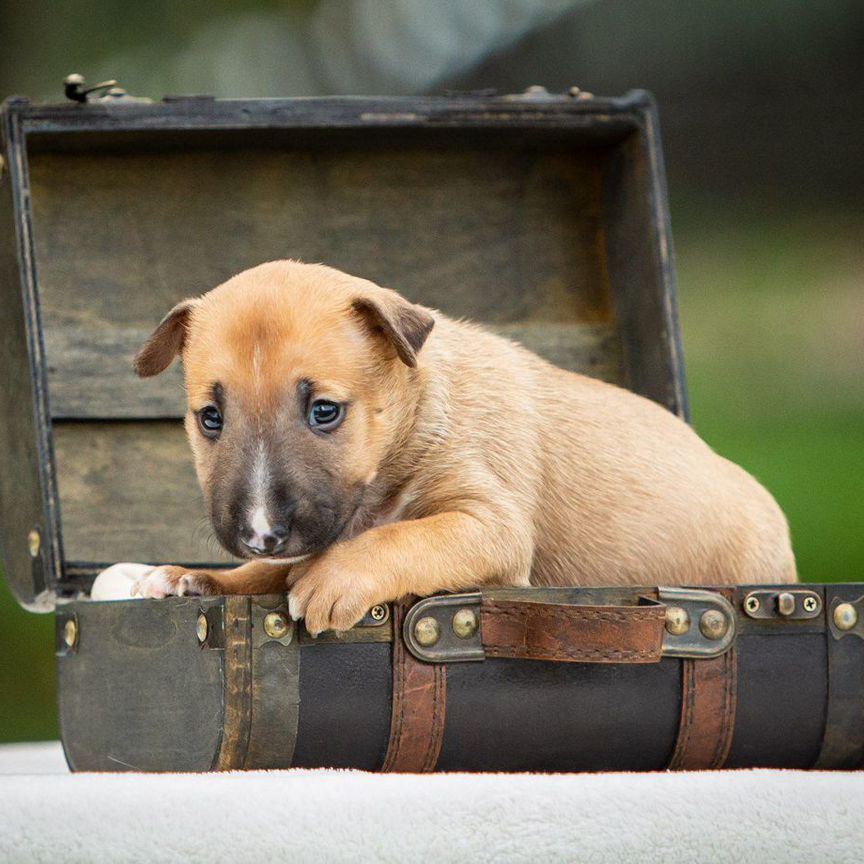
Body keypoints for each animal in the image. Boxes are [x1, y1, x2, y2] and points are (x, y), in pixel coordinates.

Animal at [130, 260, 796, 632]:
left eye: (324, 411)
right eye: (210, 418)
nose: (260, 534)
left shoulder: (490, 524)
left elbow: (402, 537)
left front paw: (332, 580)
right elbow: (268, 572)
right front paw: (195, 578)